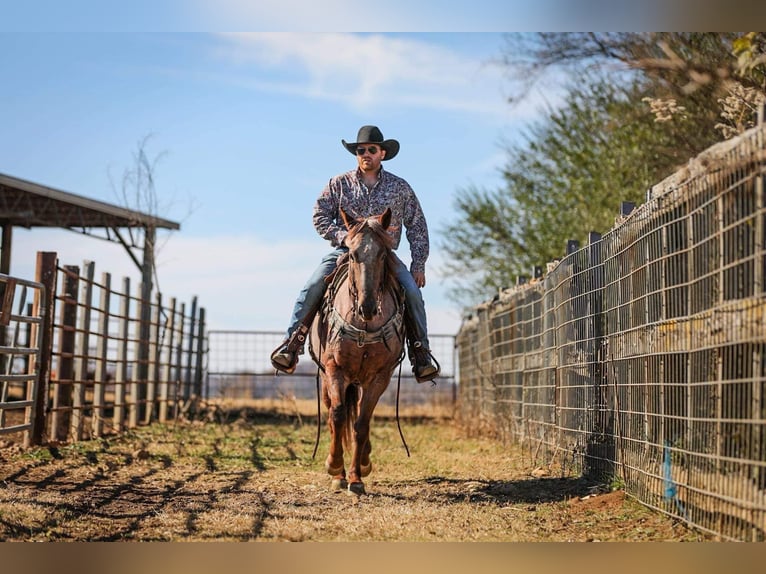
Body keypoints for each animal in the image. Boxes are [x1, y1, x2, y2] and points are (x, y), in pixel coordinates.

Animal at [309, 207, 406, 495]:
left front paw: (356, 476)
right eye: (352, 254)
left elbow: (362, 423)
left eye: (383, 254)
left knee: (362, 414)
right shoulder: (335, 369)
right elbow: (339, 415)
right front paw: (334, 467)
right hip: (329, 380)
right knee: (333, 414)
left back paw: (363, 460)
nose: (368, 307)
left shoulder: (380, 377)